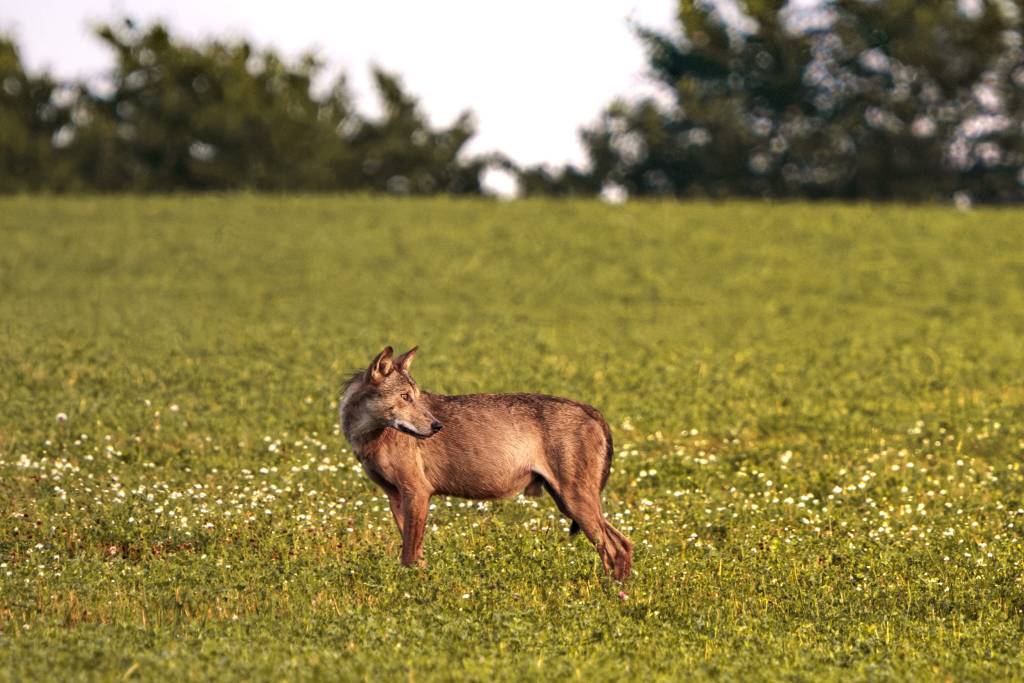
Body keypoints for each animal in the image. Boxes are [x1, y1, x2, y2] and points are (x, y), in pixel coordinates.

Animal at [338, 346, 633, 580]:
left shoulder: (417, 492)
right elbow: (414, 553)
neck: (369, 436)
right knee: (624, 544)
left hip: (574, 502)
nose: (437, 426)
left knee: (615, 547)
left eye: (415, 396)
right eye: (405, 397)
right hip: (567, 502)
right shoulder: (396, 497)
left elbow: (409, 554)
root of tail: (592, 410)